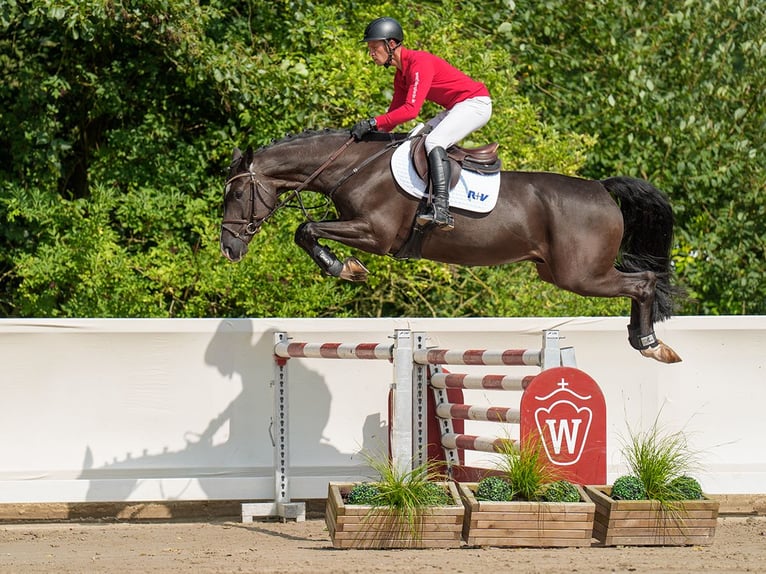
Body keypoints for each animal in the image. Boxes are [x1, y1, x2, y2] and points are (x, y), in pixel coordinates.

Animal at [220, 130, 684, 364]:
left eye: (237, 194)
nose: (228, 248)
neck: (353, 167)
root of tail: (601, 189)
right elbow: (307, 230)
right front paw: (345, 267)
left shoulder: (374, 233)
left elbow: (305, 228)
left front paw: (346, 268)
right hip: (559, 271)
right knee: (640, 281)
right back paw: (645, 341)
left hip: (581, 274)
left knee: (643, 281)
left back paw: (650, 345)